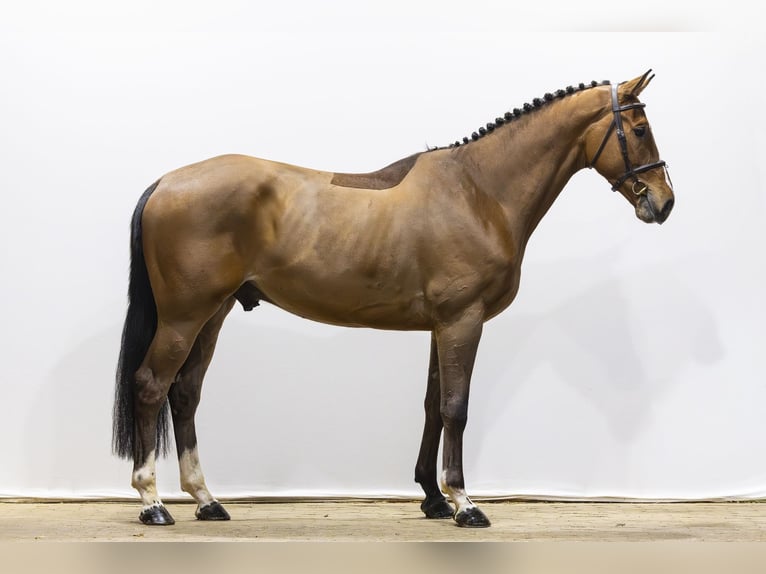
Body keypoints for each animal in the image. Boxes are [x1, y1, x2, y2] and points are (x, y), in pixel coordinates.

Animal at [113, 70, 674, 528]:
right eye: (639, 129)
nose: (663, 203)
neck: (479, 191)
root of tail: (166, 183)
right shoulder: (463, 322)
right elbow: (456, 408)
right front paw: (464, 503)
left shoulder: (441, 326)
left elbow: (431, 406)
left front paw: (433, 498)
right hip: (184, 316)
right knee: (150, 385)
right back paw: (152, 502)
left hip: (214, 313)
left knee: (185, 393)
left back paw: (206, 500)